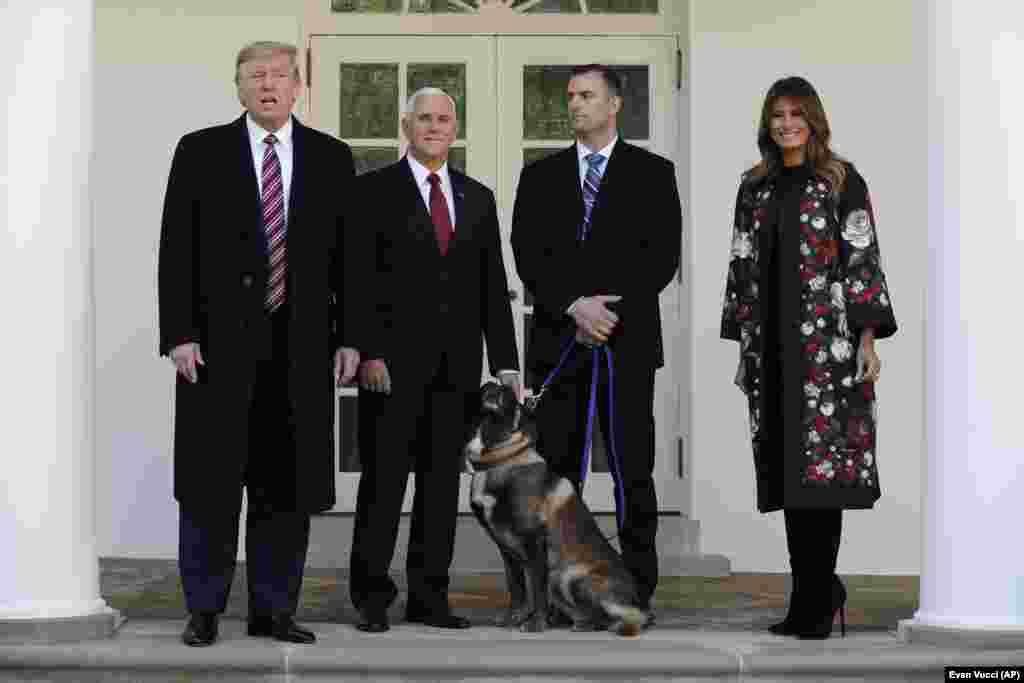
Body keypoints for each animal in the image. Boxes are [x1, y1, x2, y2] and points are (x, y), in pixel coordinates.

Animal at [466, 385, 647, 634]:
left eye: (511, 398)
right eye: (489, 388)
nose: (494, 386)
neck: (500, 459)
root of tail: (638, 604)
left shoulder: (534, 541)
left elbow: (537, 591)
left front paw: (536, 624)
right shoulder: (506, 550)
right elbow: (516, 588)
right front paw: (513, 618)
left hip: (567, 576)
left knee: (616, 617)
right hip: (559, 580)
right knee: (592, 617)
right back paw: (580, 624)